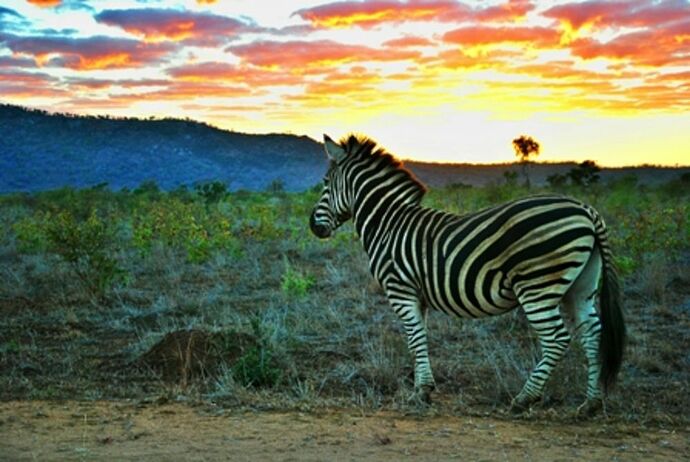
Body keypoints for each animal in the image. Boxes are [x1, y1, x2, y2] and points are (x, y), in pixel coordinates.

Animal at [310, 134, 624, 416]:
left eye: (325, 183)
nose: (313, 226)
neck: (388, 224)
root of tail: (586, 210)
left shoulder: (400, 289)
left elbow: (414, 337)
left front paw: (421, 392)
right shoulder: (418, 294)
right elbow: (420, 336)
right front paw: (425, 387)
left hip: (538, 285)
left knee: (557, 338)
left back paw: (524, 399)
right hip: (580, 286)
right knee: (592, 334)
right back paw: (591, 404)